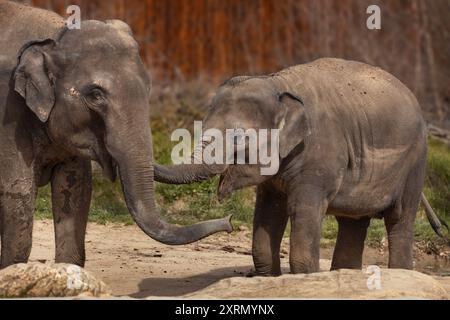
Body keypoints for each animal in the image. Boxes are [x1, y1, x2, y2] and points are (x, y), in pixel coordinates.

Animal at [0, 1, 232, 268]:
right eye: (95, 95)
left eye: (148, 88)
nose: (229, 222)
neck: (55, 35)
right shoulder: (8, 113)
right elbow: (18, 192)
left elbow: (75, 190)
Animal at [154, 57, 446, 276]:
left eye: (238, 137)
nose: (228, 221)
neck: (278, 83)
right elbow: (270, 212)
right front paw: (268, 278)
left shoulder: (319, 154)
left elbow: (302, 209)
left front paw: (305, 275)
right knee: (353, 221)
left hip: (415, 162)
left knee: (400, 219)